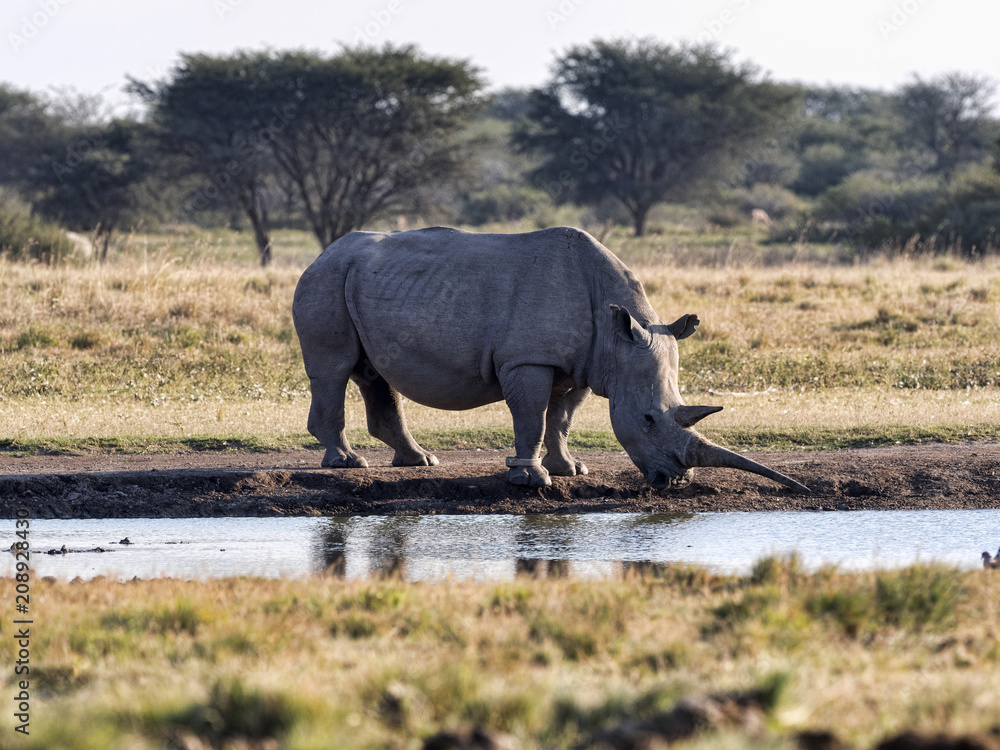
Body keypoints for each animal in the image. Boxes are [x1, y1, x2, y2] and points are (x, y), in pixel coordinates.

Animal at [292, 226, 808, 493]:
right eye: (646, 420)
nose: (673, 482)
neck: (617, 335)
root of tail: (324, 251)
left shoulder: (585, 364)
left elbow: (560, 418)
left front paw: (570, 470)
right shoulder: (528, 360)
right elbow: (530, 417)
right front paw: (532, 477)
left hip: (357, 279)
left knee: (373, 375)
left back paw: (420, 461)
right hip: (324, 280)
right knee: (334, 369)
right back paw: (348, 464)